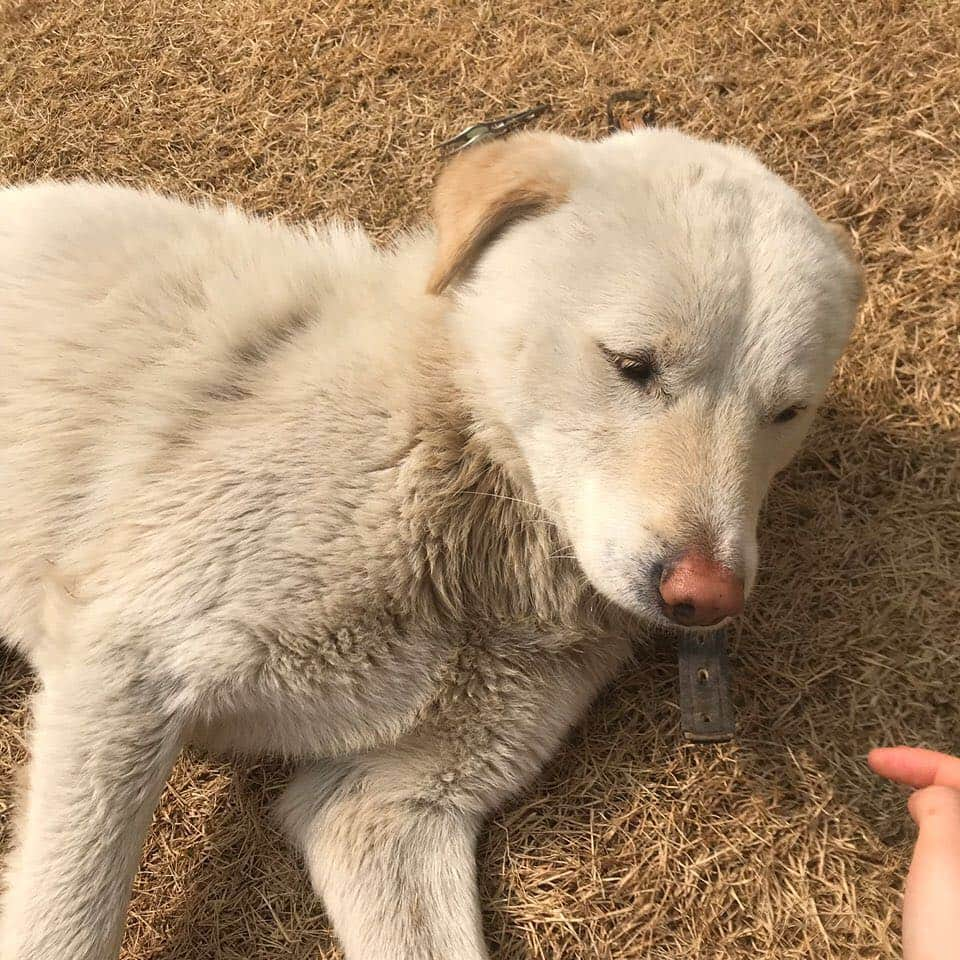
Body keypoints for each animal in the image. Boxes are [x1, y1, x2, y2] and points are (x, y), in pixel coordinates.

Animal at [0, 129, 864, 960]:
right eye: (632, 364)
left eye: (787, 413)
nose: (706, 598)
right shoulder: (127, 665)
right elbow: (65, 927)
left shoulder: (383, 806)